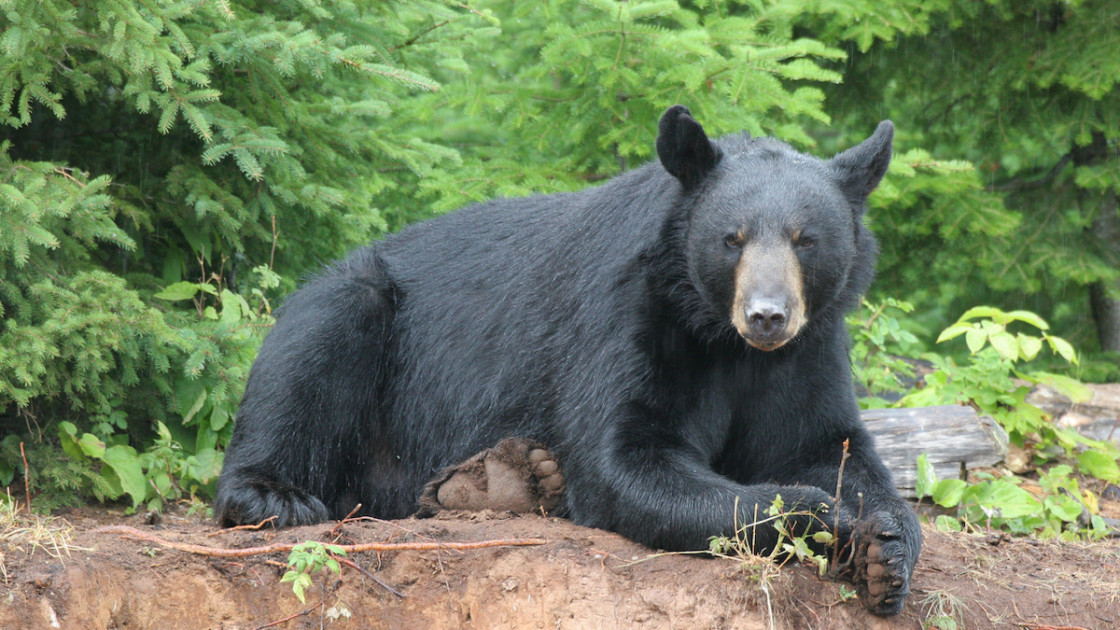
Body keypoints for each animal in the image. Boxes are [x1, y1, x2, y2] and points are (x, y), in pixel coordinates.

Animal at [216, 105, 918, 609]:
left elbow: (824, 442)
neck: (716, 333)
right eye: (732, 238)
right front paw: (822, 513)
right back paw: (275, 496)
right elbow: (626, 460)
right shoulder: (626, 316)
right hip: (356, 309)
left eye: (806, 240)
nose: (767, 315)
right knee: (309, 358)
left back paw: (506, 481)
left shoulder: (807, 348)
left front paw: (884, 545)